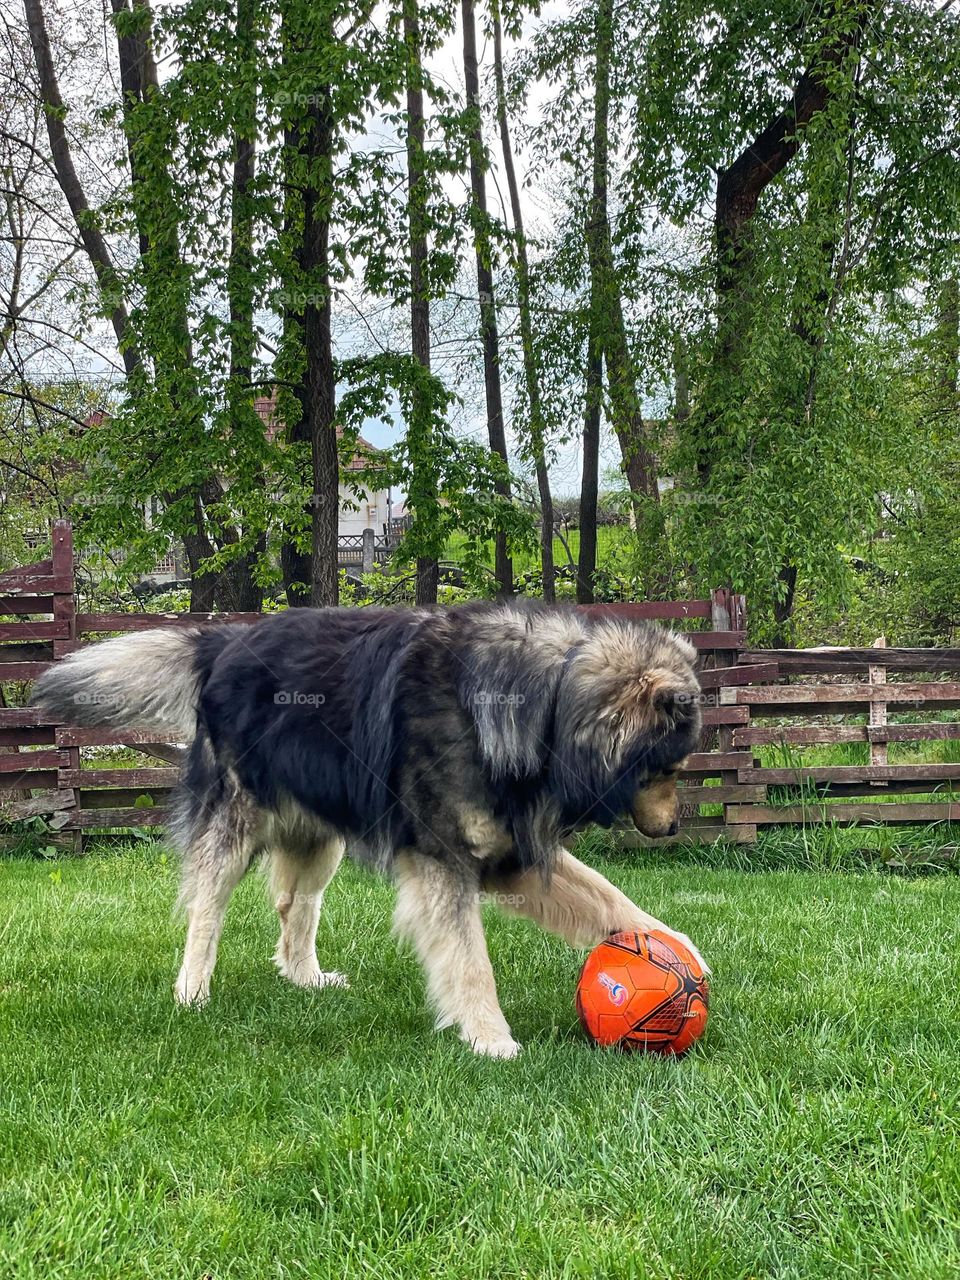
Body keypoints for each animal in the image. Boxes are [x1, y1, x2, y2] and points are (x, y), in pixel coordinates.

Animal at [32, 604, 706, 1054]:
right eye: (668, 768)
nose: (674, 827)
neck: (546, 698)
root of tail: (224, 639)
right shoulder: (444, 861)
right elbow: (471, 962)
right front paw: (491, 1039)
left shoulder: (511, 855)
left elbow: (612, 900)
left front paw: (680, 952)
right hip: (237, 822)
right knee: (207, 907)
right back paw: (192, 990)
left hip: (320, 830)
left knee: (295, 905)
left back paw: (305, 978)